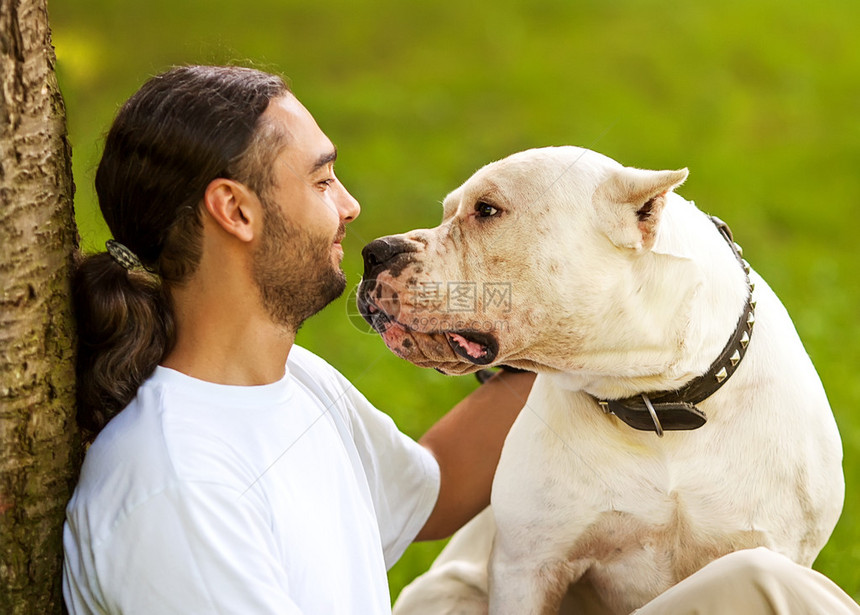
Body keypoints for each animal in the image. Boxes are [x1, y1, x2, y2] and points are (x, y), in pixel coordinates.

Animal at [354, 147, 840, 612]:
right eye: (447, 212)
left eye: (487, 210)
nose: (375, 251)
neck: (655, 398)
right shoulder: (528, 567)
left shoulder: (777, 550)